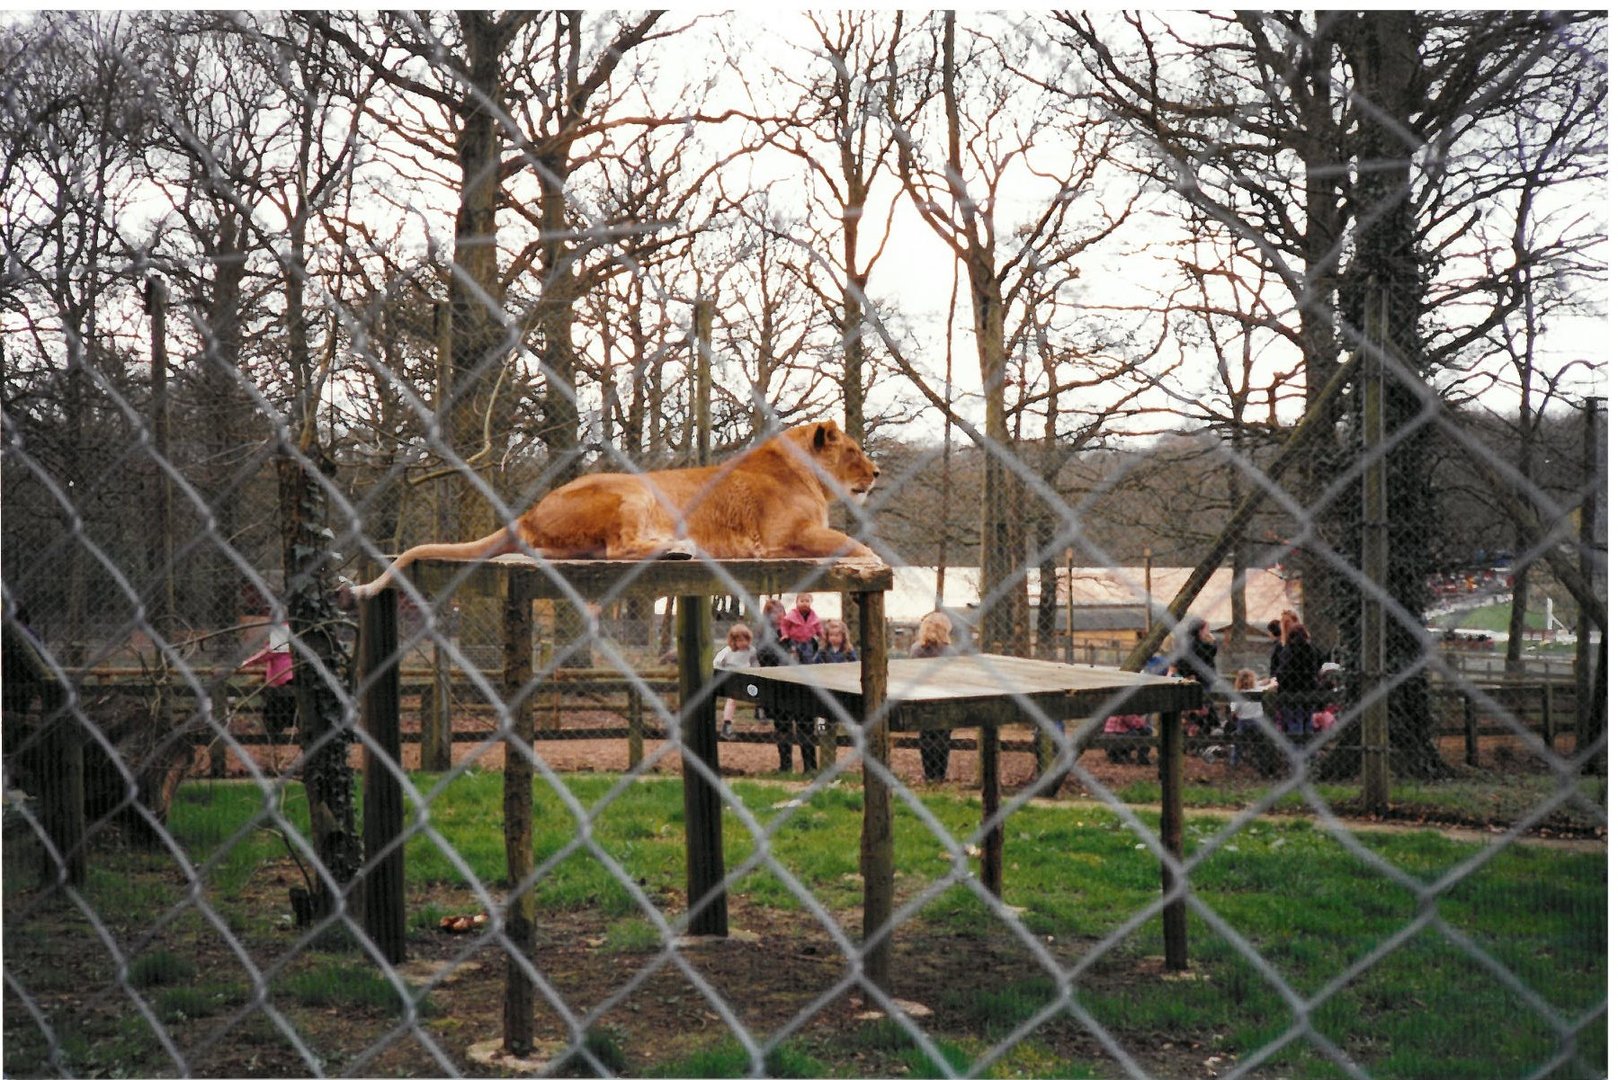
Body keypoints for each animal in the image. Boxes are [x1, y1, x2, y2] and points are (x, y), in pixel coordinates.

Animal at [341, 419, 881, 604]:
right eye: (854, 450)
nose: (876, 473)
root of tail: (528, 513)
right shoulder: (782, 536)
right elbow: (851, 542)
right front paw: (873, 558)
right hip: (634, 490)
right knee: (618, 549)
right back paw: (679, 548)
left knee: (568, 553)